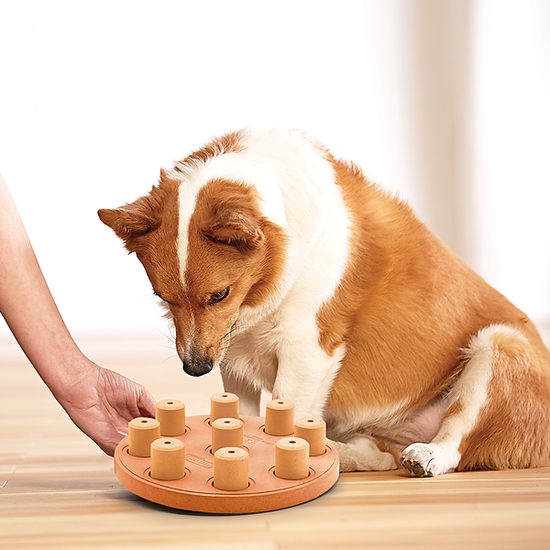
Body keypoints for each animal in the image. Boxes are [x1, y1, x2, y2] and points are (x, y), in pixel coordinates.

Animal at [99, 129, 550, 478]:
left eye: (219, 294)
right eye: (163, 297)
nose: (195, 369)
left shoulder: (307, 350)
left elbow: (284, 416)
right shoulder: (232, 356)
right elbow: (241, 417)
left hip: (499, 344)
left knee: (456, 442)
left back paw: (426, 456)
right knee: (380, 454)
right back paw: (343, 454)